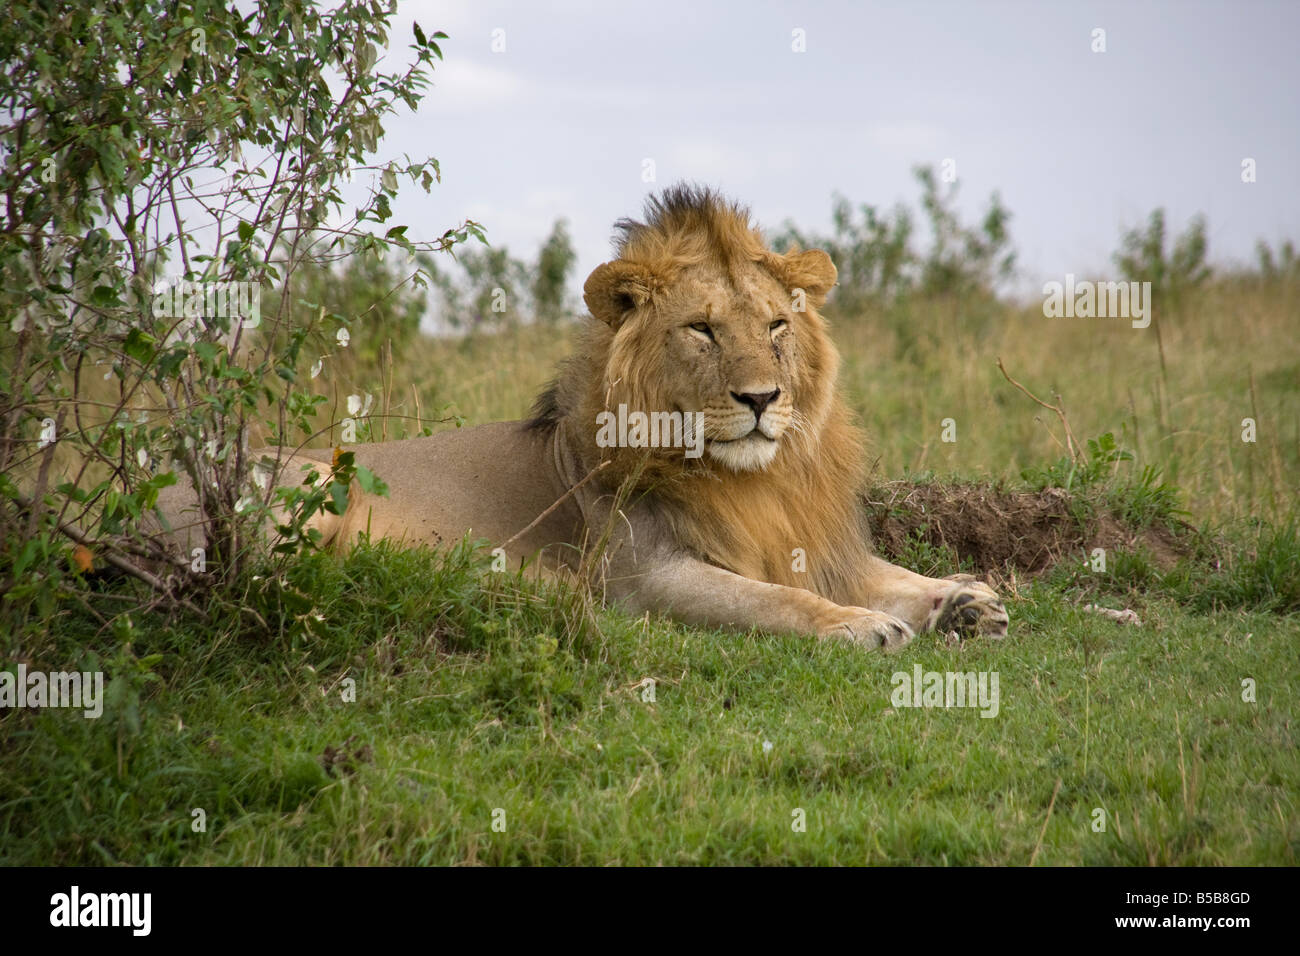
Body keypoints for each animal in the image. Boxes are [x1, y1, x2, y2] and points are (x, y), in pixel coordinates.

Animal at [154, 185, 1009, 649]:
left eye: (775, 326)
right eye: (702, 331)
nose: (762, 399)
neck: (752, 481)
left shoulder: (811, 541)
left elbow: (887, 575)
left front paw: (965, 600)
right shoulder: (649, 577)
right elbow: (776, 600)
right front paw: (856, 626)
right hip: (298, 488)